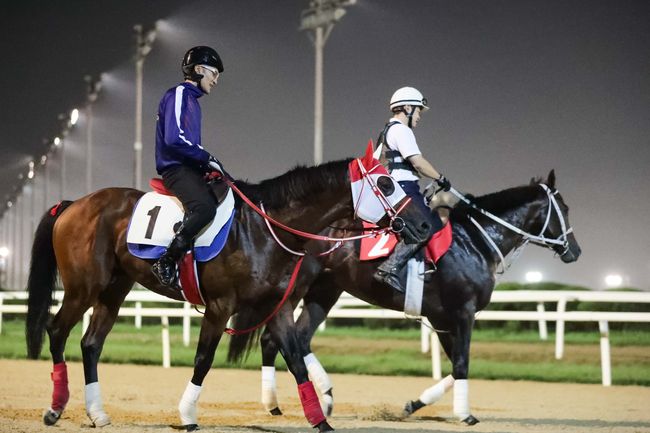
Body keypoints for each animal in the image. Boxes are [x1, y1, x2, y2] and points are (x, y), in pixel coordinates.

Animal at [26, 154, 430, 430]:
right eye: (388, 184)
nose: (426, 225)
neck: (265, 229)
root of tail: (74, 204)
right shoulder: (220, 306)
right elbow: (204, 359)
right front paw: (187, 414)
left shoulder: (277, 307)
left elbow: (295, 360)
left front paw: (321, 421)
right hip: (83, 288)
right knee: (57, 330)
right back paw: (55, 407)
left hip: (114, 290)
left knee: (91, 344)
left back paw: (97, 412)